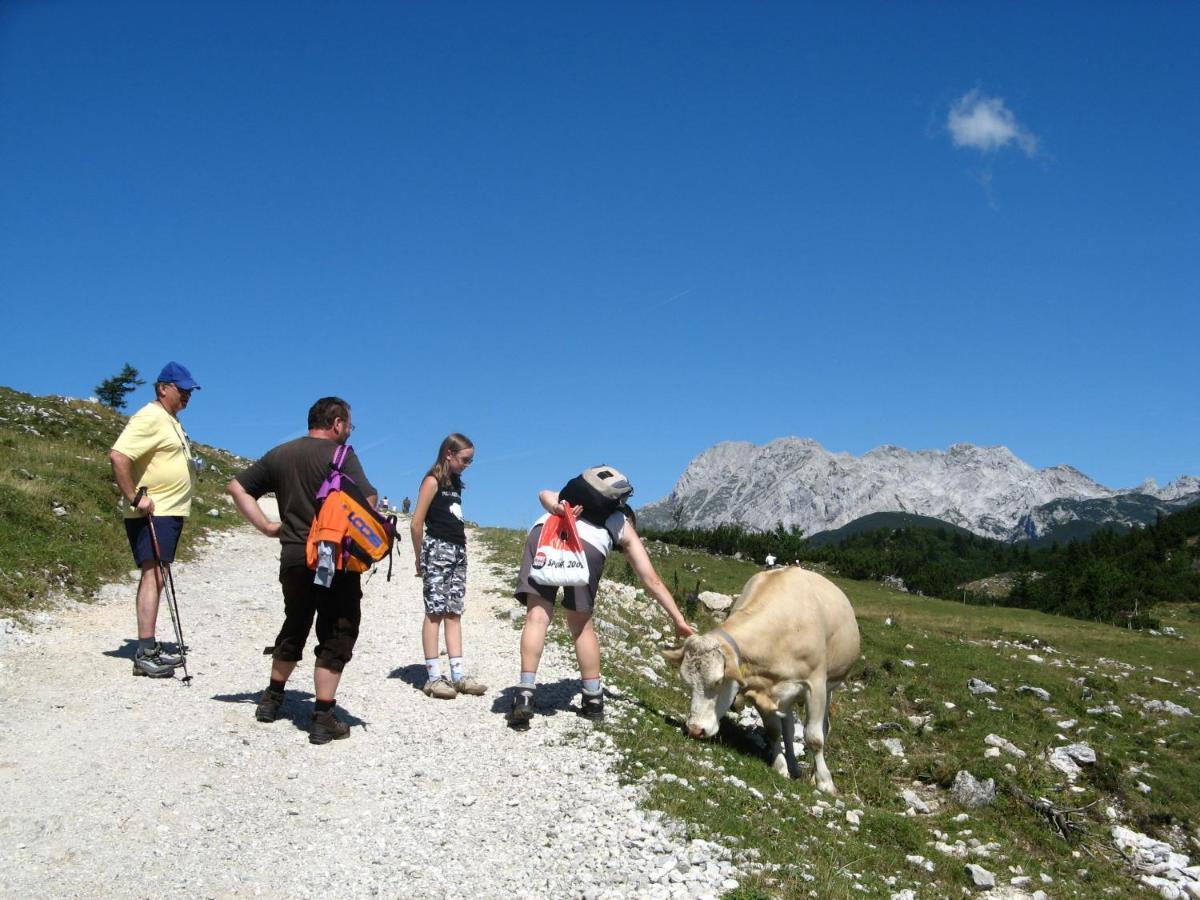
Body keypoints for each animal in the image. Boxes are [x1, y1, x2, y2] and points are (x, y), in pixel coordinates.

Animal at [662, 571, 859, 796]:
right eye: (687, 682)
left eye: (719, 680)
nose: (695, 729)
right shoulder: (760, 689)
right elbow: (774, 731)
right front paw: (780, 766)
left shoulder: (815, 685)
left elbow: (815, 738)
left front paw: (825, 782)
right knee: (788, 728)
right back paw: (793, 766)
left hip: (829, 687)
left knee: (824, 727)